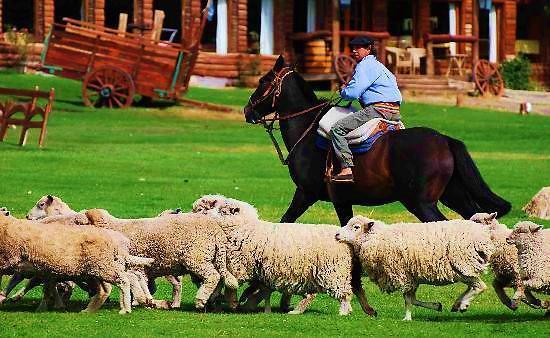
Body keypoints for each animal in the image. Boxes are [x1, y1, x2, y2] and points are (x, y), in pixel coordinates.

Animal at [83, 207, 238, 310]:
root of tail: (217, 230)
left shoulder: (136, 265)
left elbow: (138, 284)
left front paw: (140, 302)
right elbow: (144, 285)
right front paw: (145, 301)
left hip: (197, 257)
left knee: (213, 276)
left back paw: (200, 300)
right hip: (213, 257)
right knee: (219, 278)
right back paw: (210, 298)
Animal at [192, 194, 378, 316]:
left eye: (222, 209)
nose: (196, 211)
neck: (246, 229)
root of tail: (344, 238)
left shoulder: (239, 267)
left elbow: (230, 286)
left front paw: (228, 302)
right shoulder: (257, 271)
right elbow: (253, 289)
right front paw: (239, 301)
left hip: (332, 272)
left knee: (343, 293)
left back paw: (343, 311)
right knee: (316, 294)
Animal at [244, 54, 512, 227]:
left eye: (263, 81)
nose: (247, 111)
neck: (309, 130)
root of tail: (445, 141)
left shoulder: (306, 193)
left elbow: (285, 221)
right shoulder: (341, 201)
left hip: (421, 203)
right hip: (453, 195)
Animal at [336, 215, 496, 320]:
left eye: (356, 227)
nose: (337, 234)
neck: (378, 238)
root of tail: (483, 234)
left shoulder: (403, 275)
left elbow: (408, 299)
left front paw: (407, 318)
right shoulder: (413, 277)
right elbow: (412, 299)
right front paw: (436, 306)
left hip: (463, 265)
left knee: (480, 286)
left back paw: (463, 304)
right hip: (464, 269)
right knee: (473, 286)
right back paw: (458, 304)